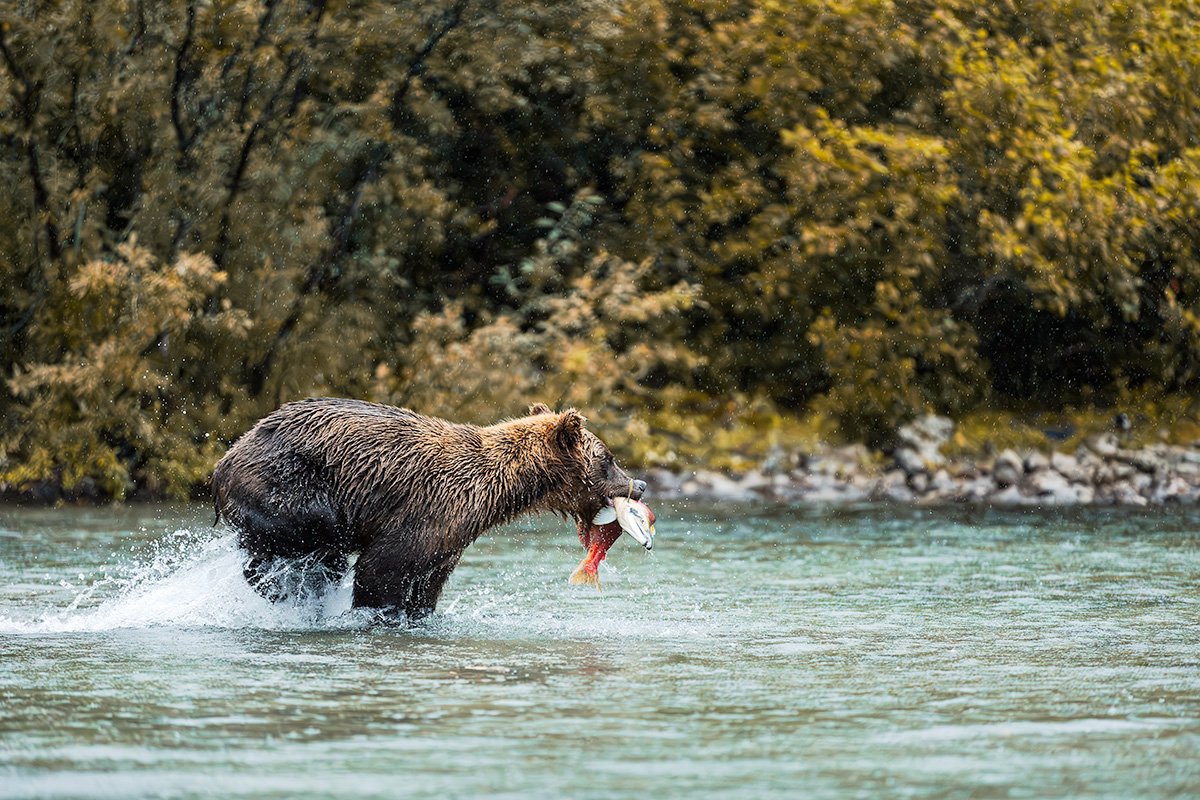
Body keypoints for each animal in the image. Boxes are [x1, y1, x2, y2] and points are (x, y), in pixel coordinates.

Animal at [210, 397, 647, 618]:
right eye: (607, 458)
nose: (640, 485)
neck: (499, 489)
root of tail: (225, 459)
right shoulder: (430, 508)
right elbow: (382, 568)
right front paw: (377, 612)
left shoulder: (450, 536)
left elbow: (426, 580)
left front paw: (418, 614)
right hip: (288, 481)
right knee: (307, 536)